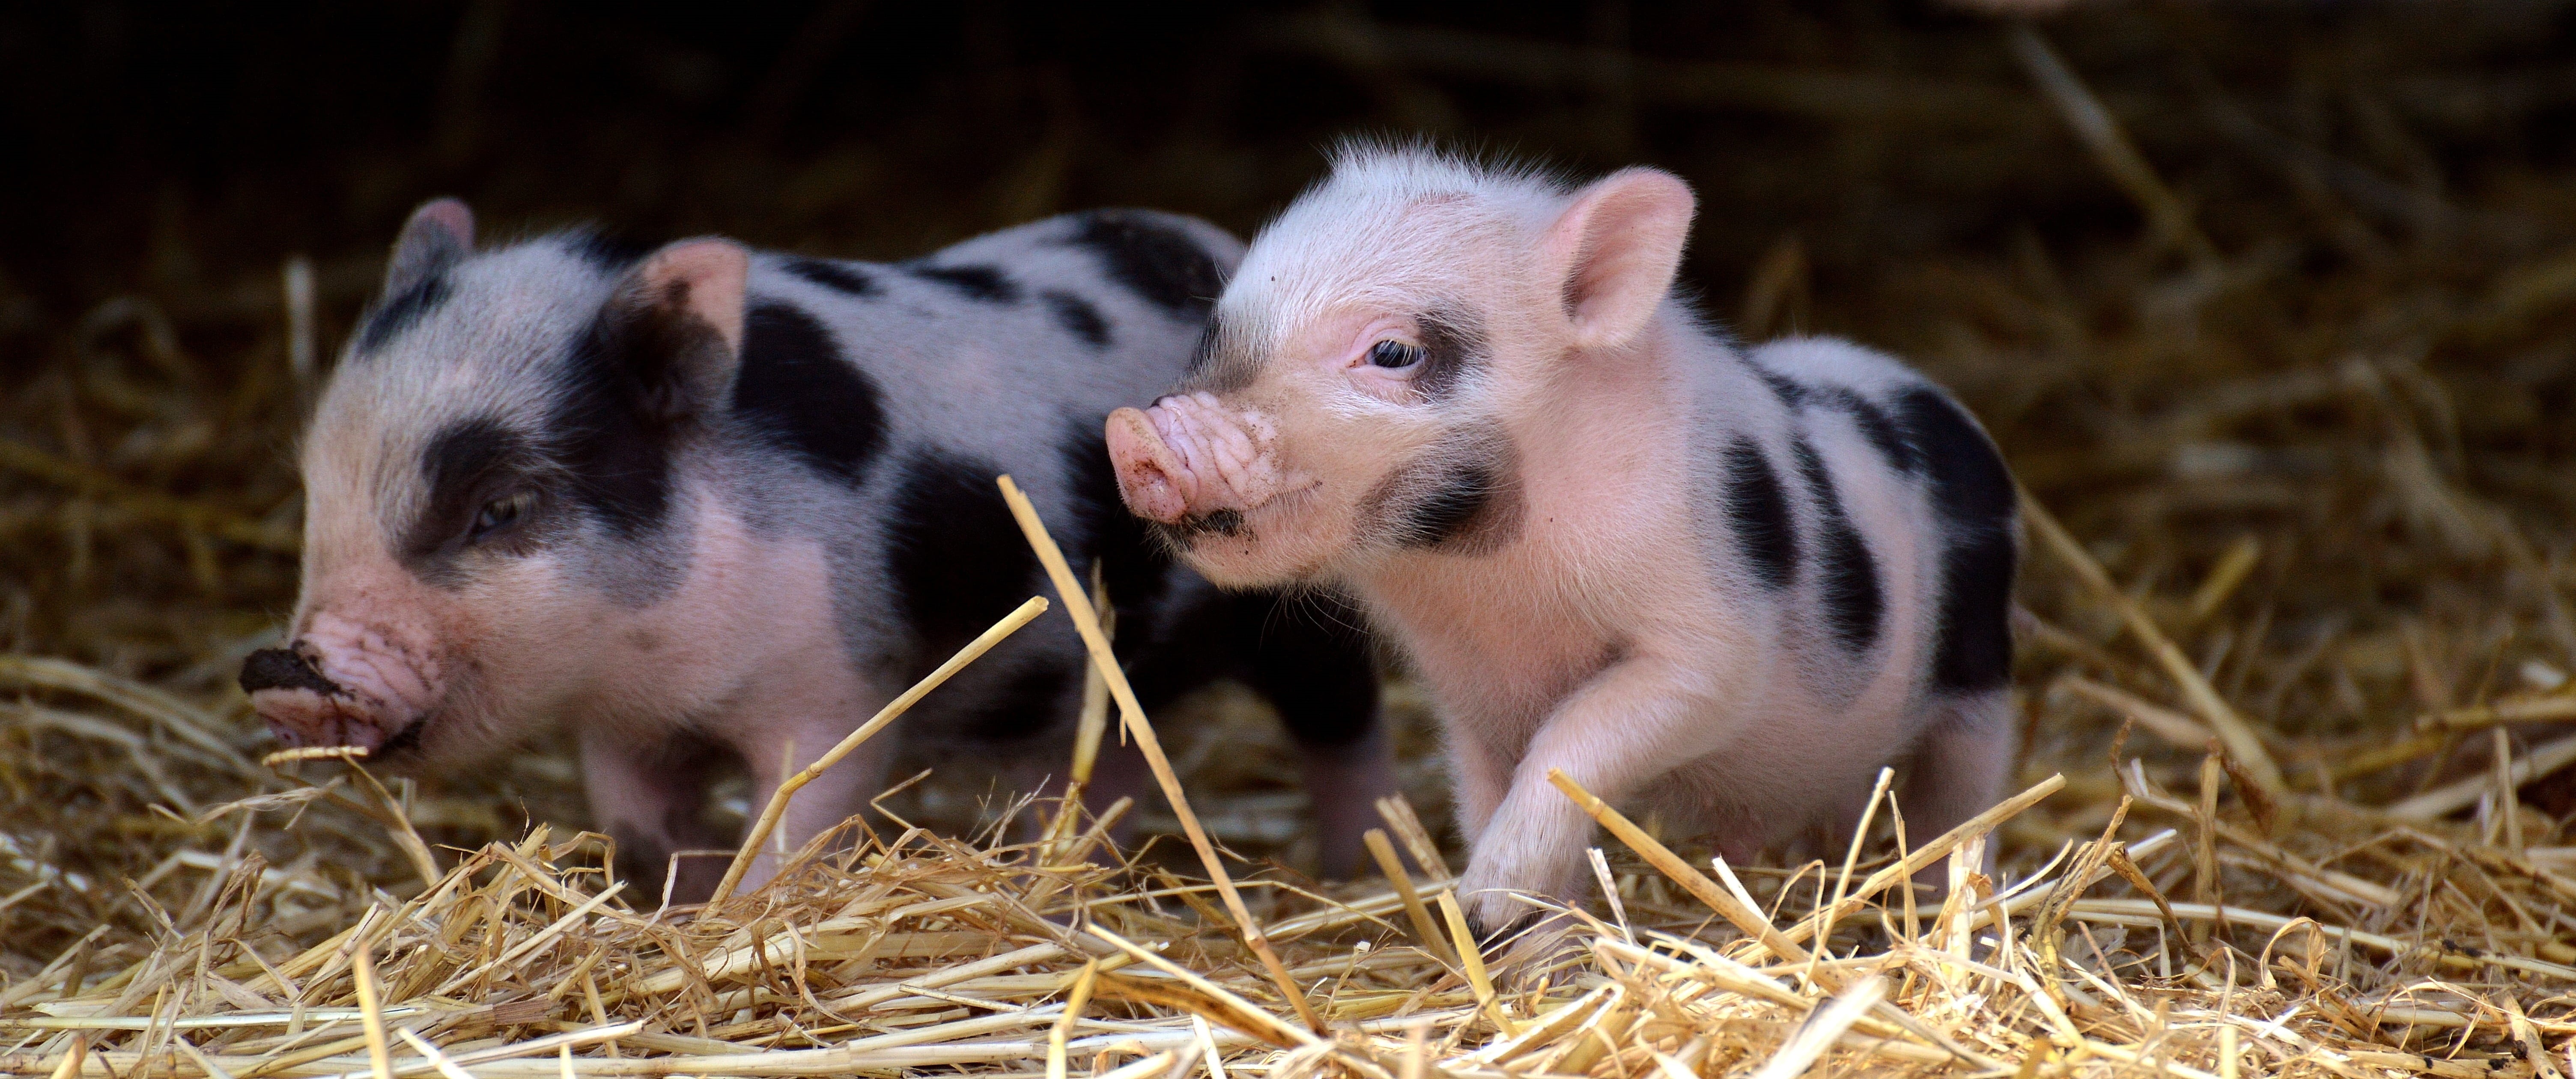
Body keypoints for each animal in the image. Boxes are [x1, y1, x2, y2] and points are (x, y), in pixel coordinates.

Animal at [240, 198, 1397, 900]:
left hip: (1301, 612)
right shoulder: (623, 728)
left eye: (501, 509)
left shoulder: (836, 692)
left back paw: (1351, 873)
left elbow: (799, 825)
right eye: (316, 488)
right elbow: (644, 831)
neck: (655, 661)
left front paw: (739, 920)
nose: (285, 666)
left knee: (1345, 731)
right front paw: (675, 914)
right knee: (1101, 765)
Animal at [1105, 146, 2019, 937]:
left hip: (1979, 675)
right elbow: (1487, 791)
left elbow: (1577, 741)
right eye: (1214, 336)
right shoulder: (1463, 692)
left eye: (1393, 351)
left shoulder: (1707, 640)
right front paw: (1513, 938)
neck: (1488, 586)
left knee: (1960, 804)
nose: (1139, 438)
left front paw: (1486, 898)